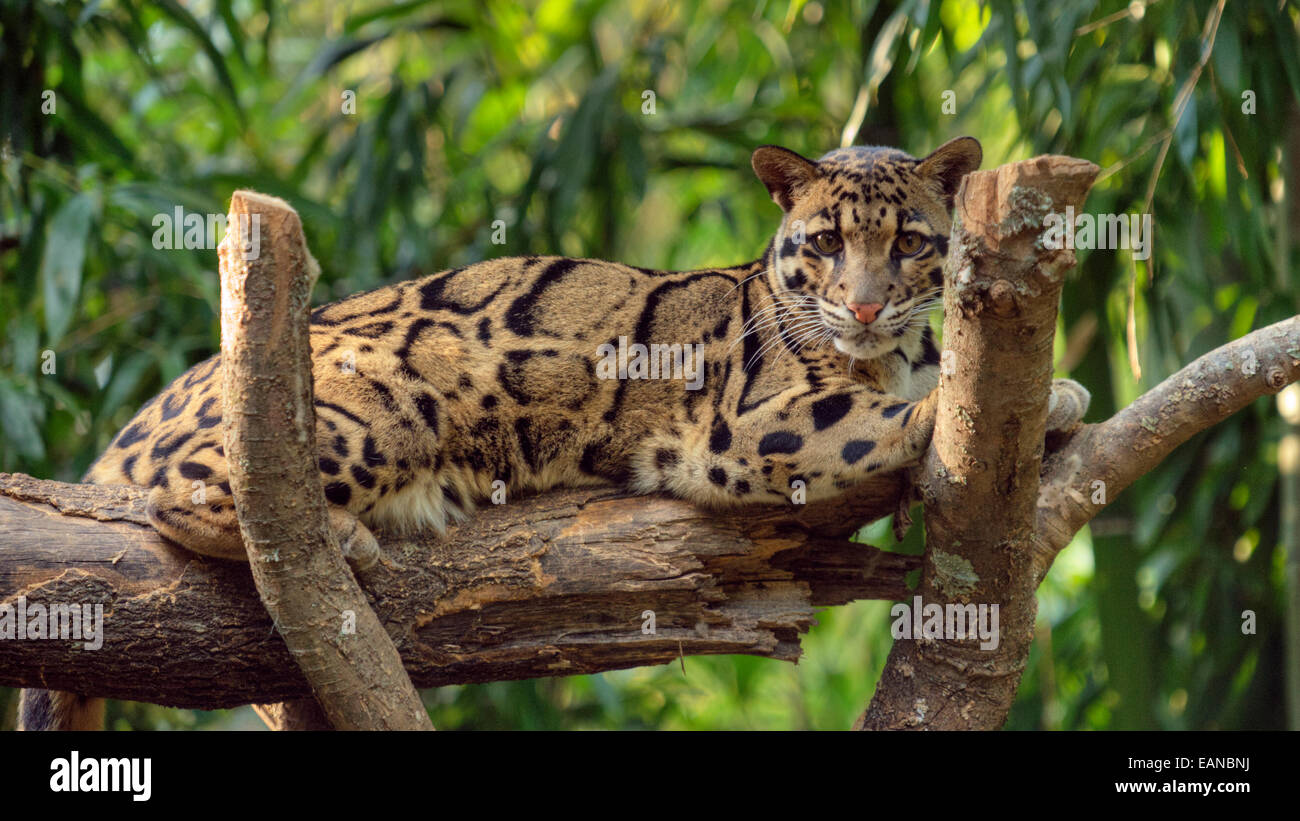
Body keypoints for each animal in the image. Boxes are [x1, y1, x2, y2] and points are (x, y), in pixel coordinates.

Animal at [22, 136, 1097, 732]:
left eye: (910, 242)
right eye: (827, 243)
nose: (867, 306)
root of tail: (132, 422)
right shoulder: (752, 425)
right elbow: (883, 419)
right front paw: (1038, 396)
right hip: (367, 401)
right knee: (192, 492)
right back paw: (340, 535)